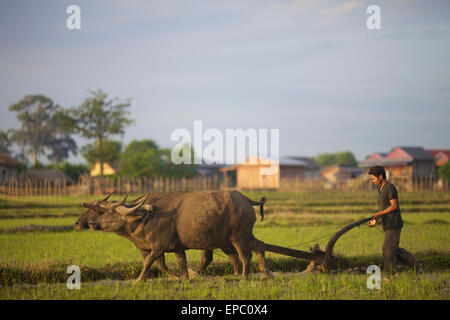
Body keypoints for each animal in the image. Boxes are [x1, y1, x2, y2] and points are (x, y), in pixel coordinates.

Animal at [74, 190, 270, 280]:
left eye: (105, 212)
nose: (84, 223)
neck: (146, 217)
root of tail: (246, 200)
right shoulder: (171, 248)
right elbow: (173, 265)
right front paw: (183, 278)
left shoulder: (158, 247)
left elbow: (149, 264)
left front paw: (138, 280)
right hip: (235, 239)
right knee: (257, 248)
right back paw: (265, 274)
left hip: (239, 238)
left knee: (245, 256)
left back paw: (244, 277)